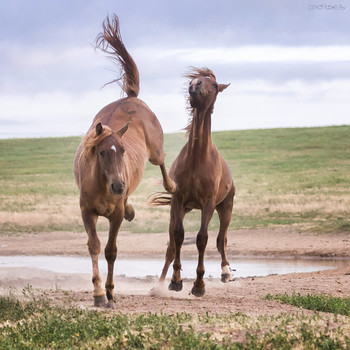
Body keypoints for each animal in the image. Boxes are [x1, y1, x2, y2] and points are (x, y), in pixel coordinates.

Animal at [74, 15, 178, 308]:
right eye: (101, 152)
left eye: (122, 151)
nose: (118, 186)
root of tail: (131, 97)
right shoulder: (87, 212)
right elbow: (94, 247)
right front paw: (98, 294)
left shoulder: (115, 215)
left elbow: (111, 250)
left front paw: (110, 293)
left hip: (155, 150)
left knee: (162, 162)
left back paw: (171, 187)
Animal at [150, 67, 235, 296]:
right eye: (195, 79)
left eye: (213, 84)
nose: (194, 85)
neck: (197, 158)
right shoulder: (179, 200)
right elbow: (178, 237)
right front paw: (175, 281)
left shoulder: (208, 204)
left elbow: (202, 238)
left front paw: (199, 284)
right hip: (180, 210)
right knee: (171, 247)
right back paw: (158, 285)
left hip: (225, 207)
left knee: (221, 239)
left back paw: (226, 272)